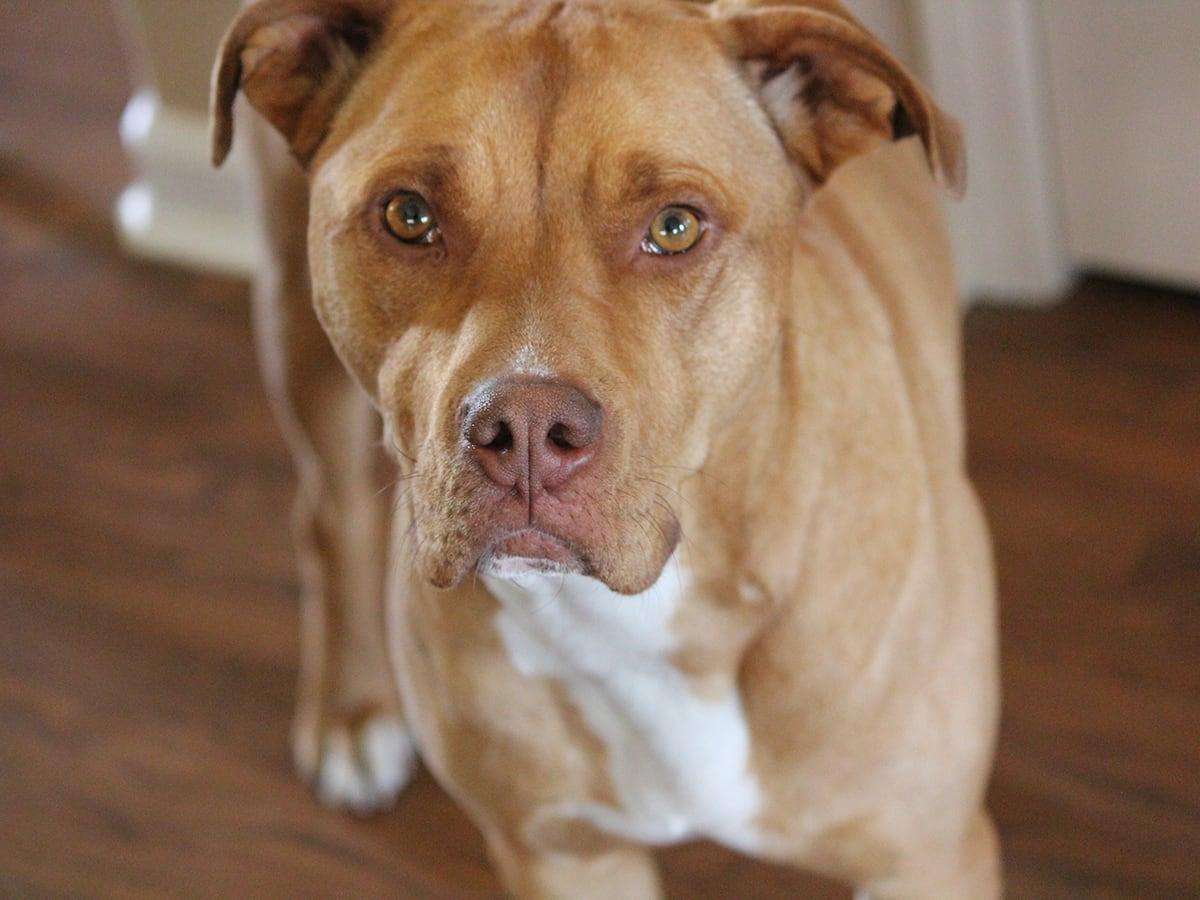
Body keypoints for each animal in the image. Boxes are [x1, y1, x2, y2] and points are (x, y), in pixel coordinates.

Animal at [211, 1, 998, 897]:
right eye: (408, 215)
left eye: (675, 227)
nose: (524, 429)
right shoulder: (561, 856)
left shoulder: (929, 858)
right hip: (291, 312)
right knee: (329, 513)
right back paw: (351, 711)